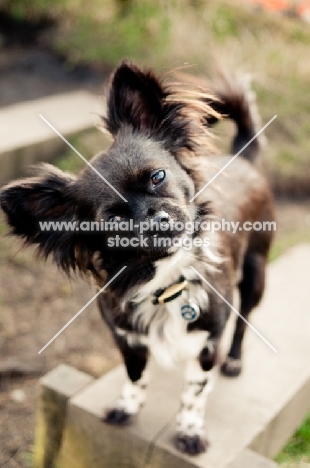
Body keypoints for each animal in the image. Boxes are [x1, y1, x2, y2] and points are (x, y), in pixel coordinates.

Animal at [1, 60, 274, 456]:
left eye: (158, 176)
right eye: (114, 220)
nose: (157, 221)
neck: (165, 282)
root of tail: (242, 158)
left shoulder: (207, 342)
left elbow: (194, 393)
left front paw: (189, 431)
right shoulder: (126, 337)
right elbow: (134, 375)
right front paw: (127, 407)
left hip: (256, 272)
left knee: (244, 320)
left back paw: (235, 360)